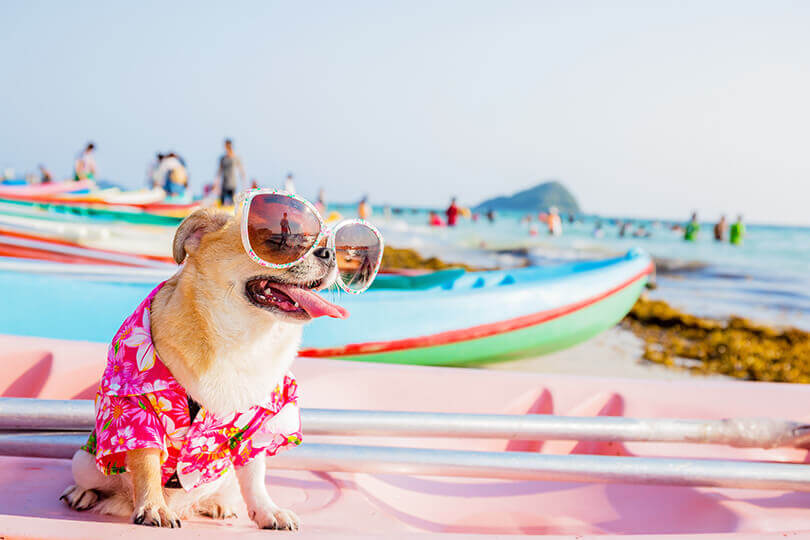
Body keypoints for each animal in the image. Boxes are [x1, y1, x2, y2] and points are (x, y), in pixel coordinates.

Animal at [59, 209, 344, 528]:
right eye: (279, 240)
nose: (330, 252)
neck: (243, 340)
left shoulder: (259, 428)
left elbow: (255, 476)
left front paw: (267, 511)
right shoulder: (136, 410)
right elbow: (146, 462)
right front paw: (153, 507)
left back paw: (216, 504)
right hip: (85, 463)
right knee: (95, 480)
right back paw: (82, 493)